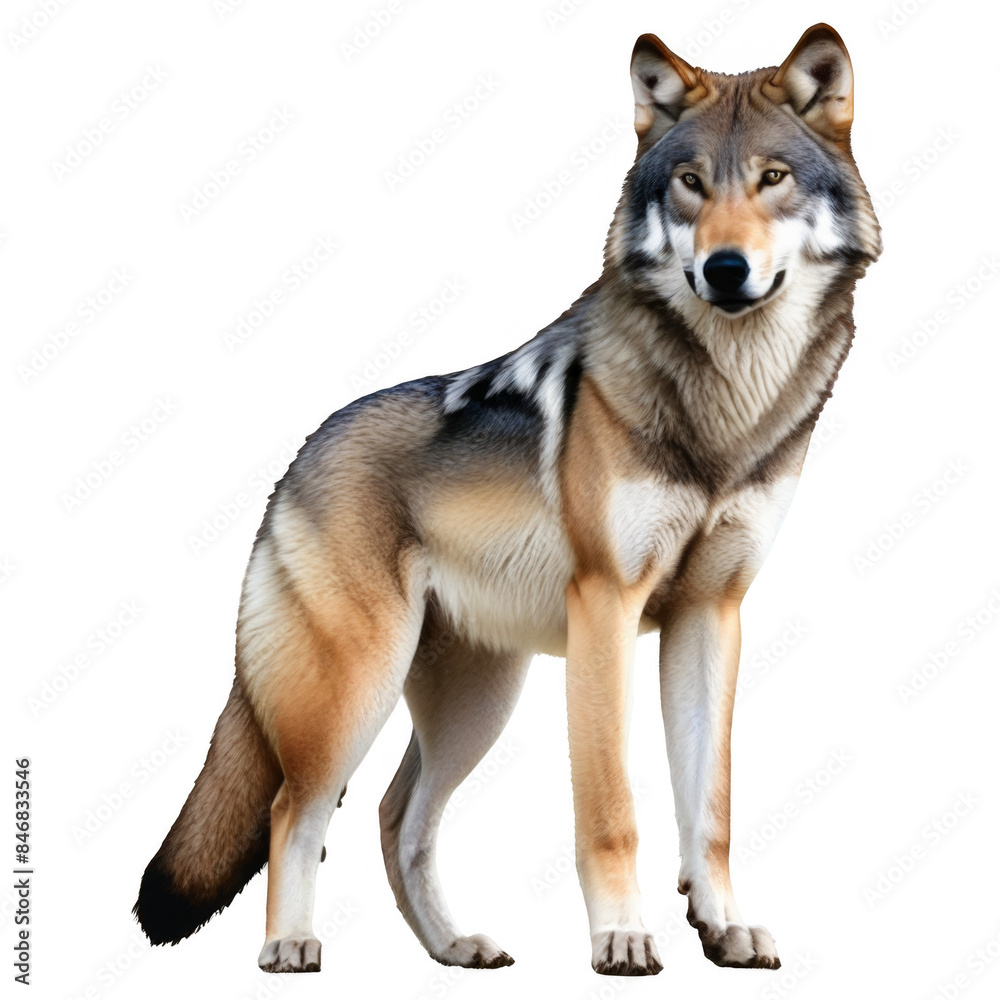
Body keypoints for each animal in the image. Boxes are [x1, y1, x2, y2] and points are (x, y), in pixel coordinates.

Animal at [135, 24, 880, 976]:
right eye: (690, 183)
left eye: (772, 178)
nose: (724, 268)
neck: (724, 411)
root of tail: (298, 459)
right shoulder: (605, 609)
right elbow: (610, 810)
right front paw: (623, 938)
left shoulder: (712, 615)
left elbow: (708, 809)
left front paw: (723, 927)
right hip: (358, 688)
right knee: (293, 812)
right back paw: (292, 945)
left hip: (476, 705)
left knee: (396, 817)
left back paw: (453, 946)